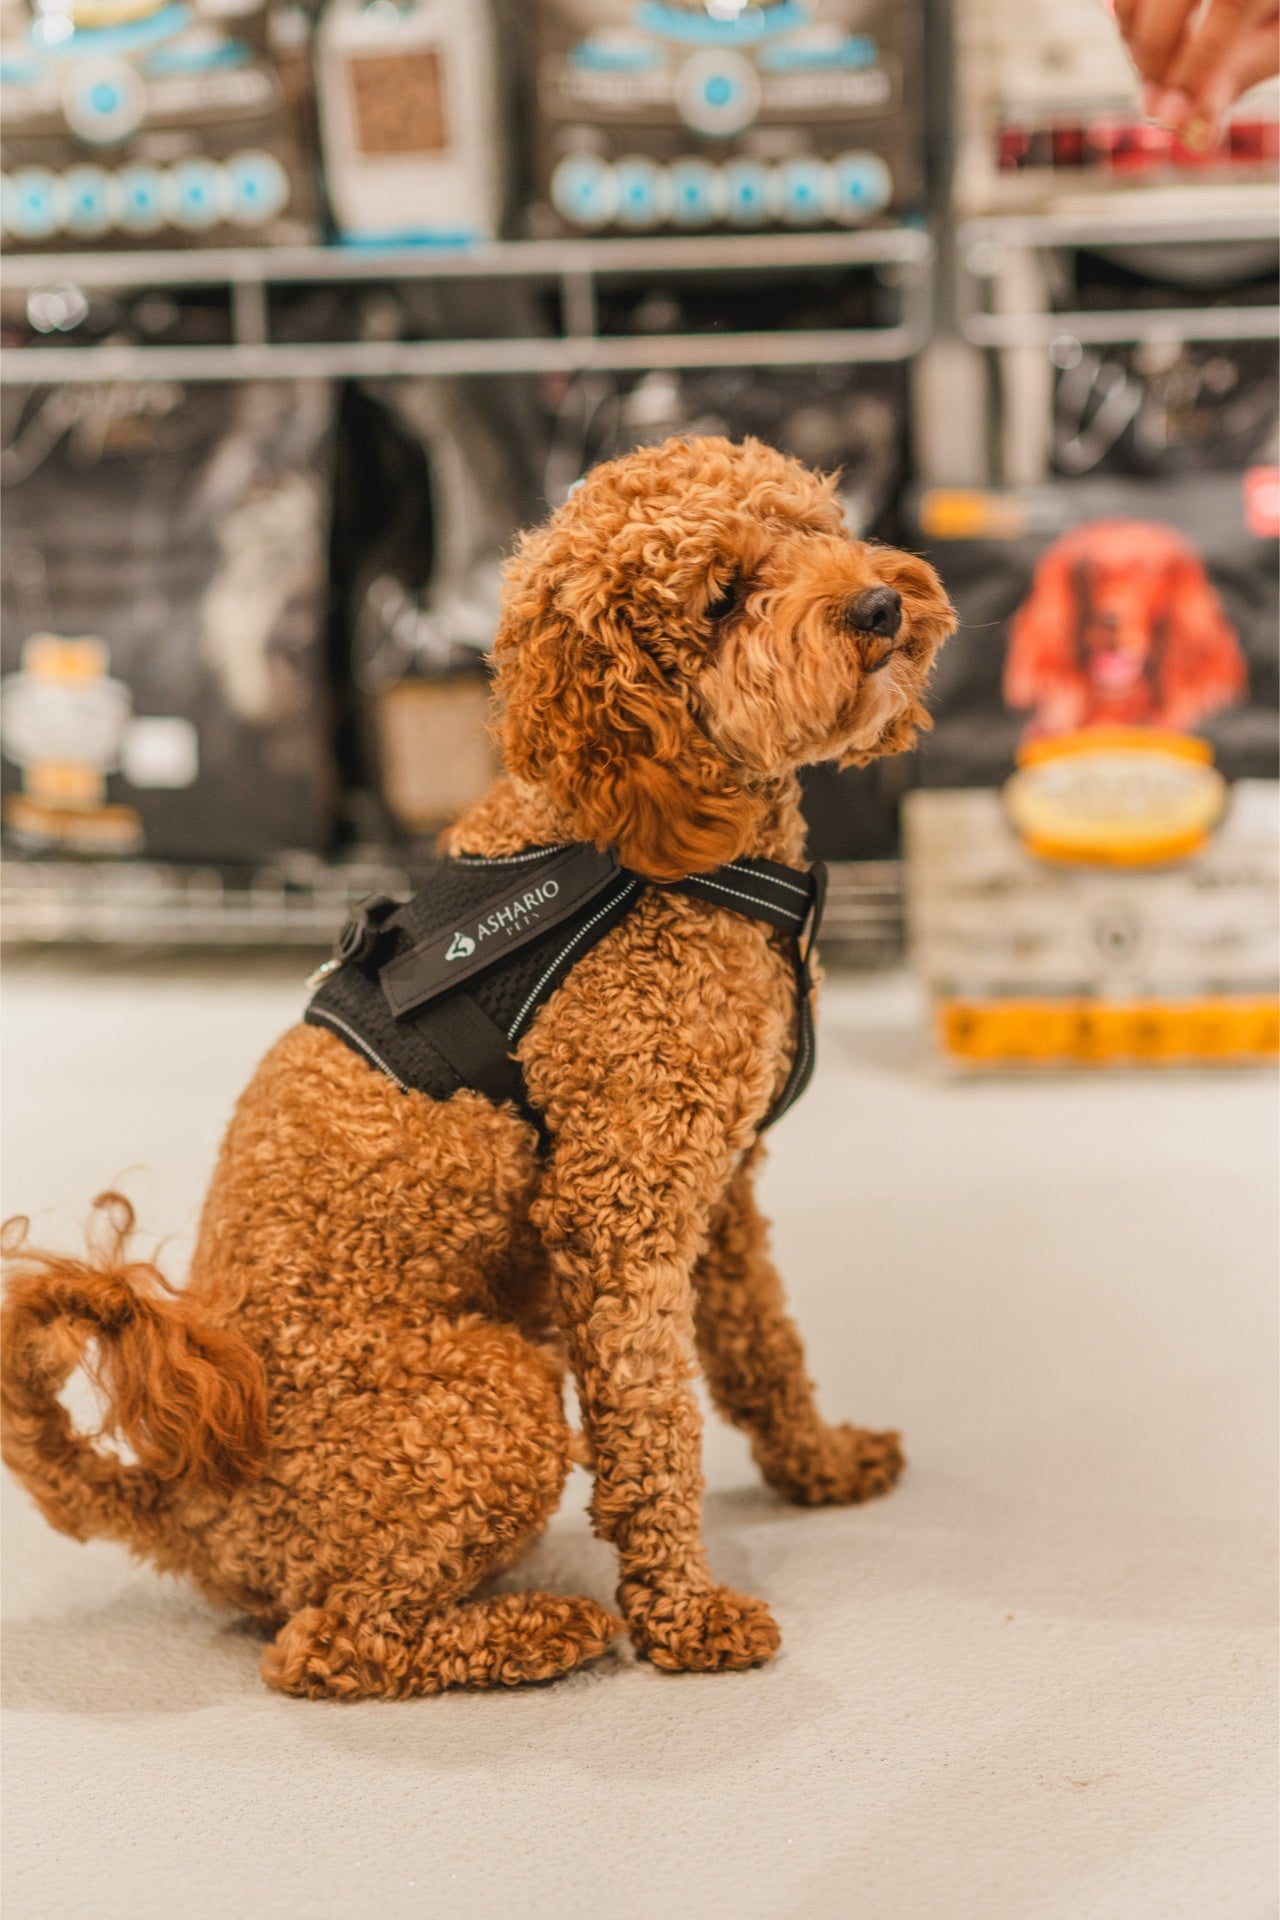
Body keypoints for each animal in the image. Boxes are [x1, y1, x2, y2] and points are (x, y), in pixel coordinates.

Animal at [2, 435, 951, 1697]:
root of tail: (185, 1505)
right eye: (718, 598)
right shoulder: (621, 1210)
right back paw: (537, 1631)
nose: (880, 603)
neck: (646, 849)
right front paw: (684, 1616)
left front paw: (818, 1463)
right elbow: (651, 1426)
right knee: (327, 1644)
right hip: (488, 1401)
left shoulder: (722, 1187)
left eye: (813, 528)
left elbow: (761, 1346)